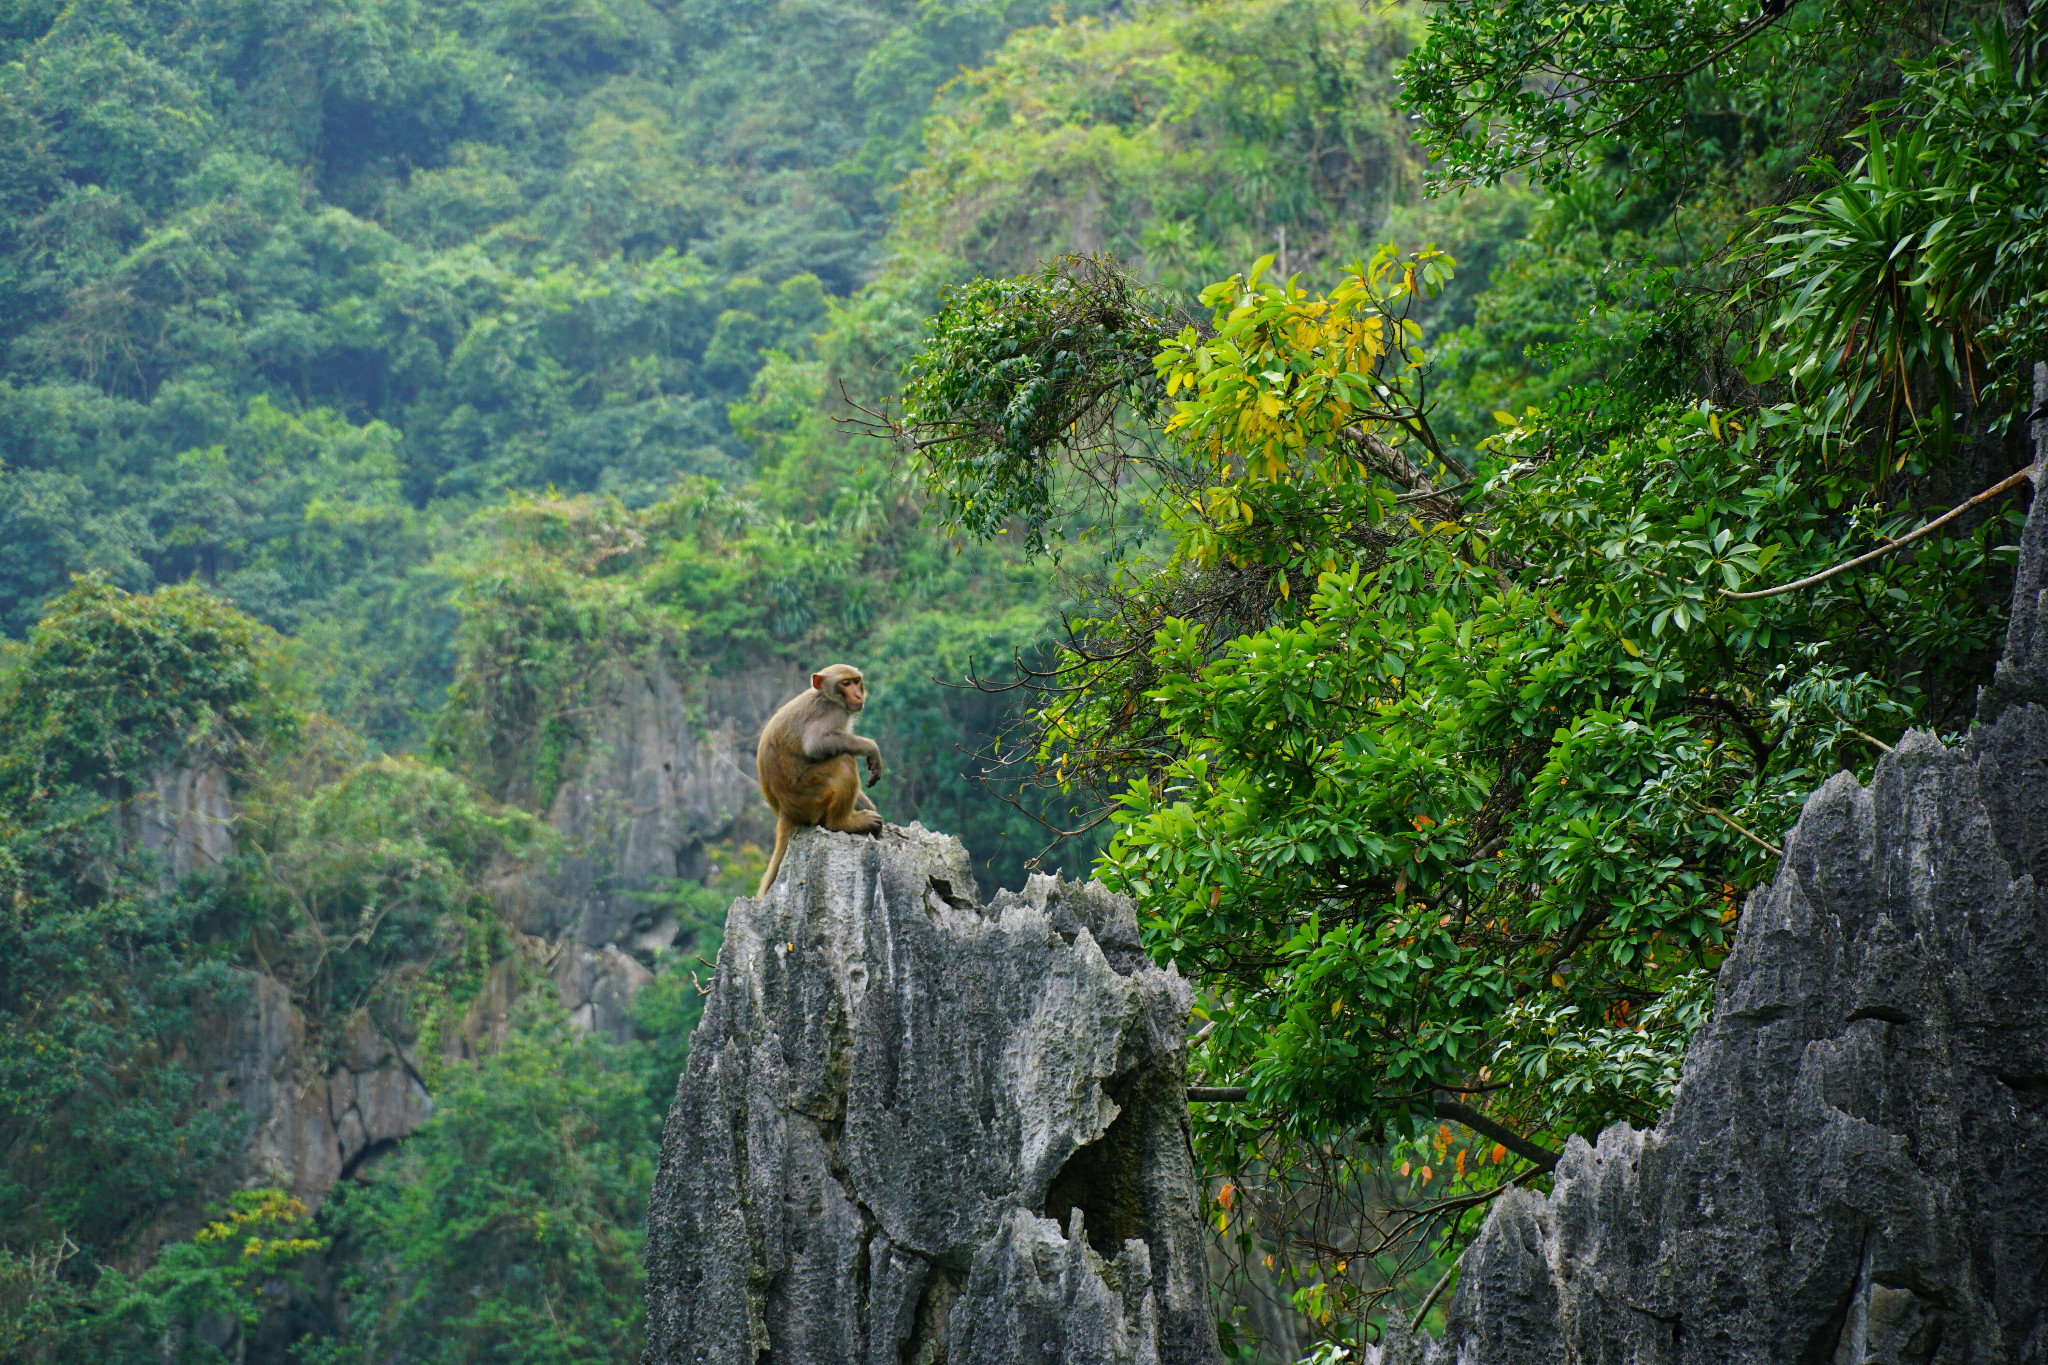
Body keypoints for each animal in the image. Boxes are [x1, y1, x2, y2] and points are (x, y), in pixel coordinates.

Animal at [753, 663, 880, 896]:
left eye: (856, 681)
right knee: (843, 761)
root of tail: (785, 812)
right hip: (809, 795)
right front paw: (871, 748)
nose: (858, 694)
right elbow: (816, 744)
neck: (827, 697)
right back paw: (842, 822)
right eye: (845, 683)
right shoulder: (832, 713)